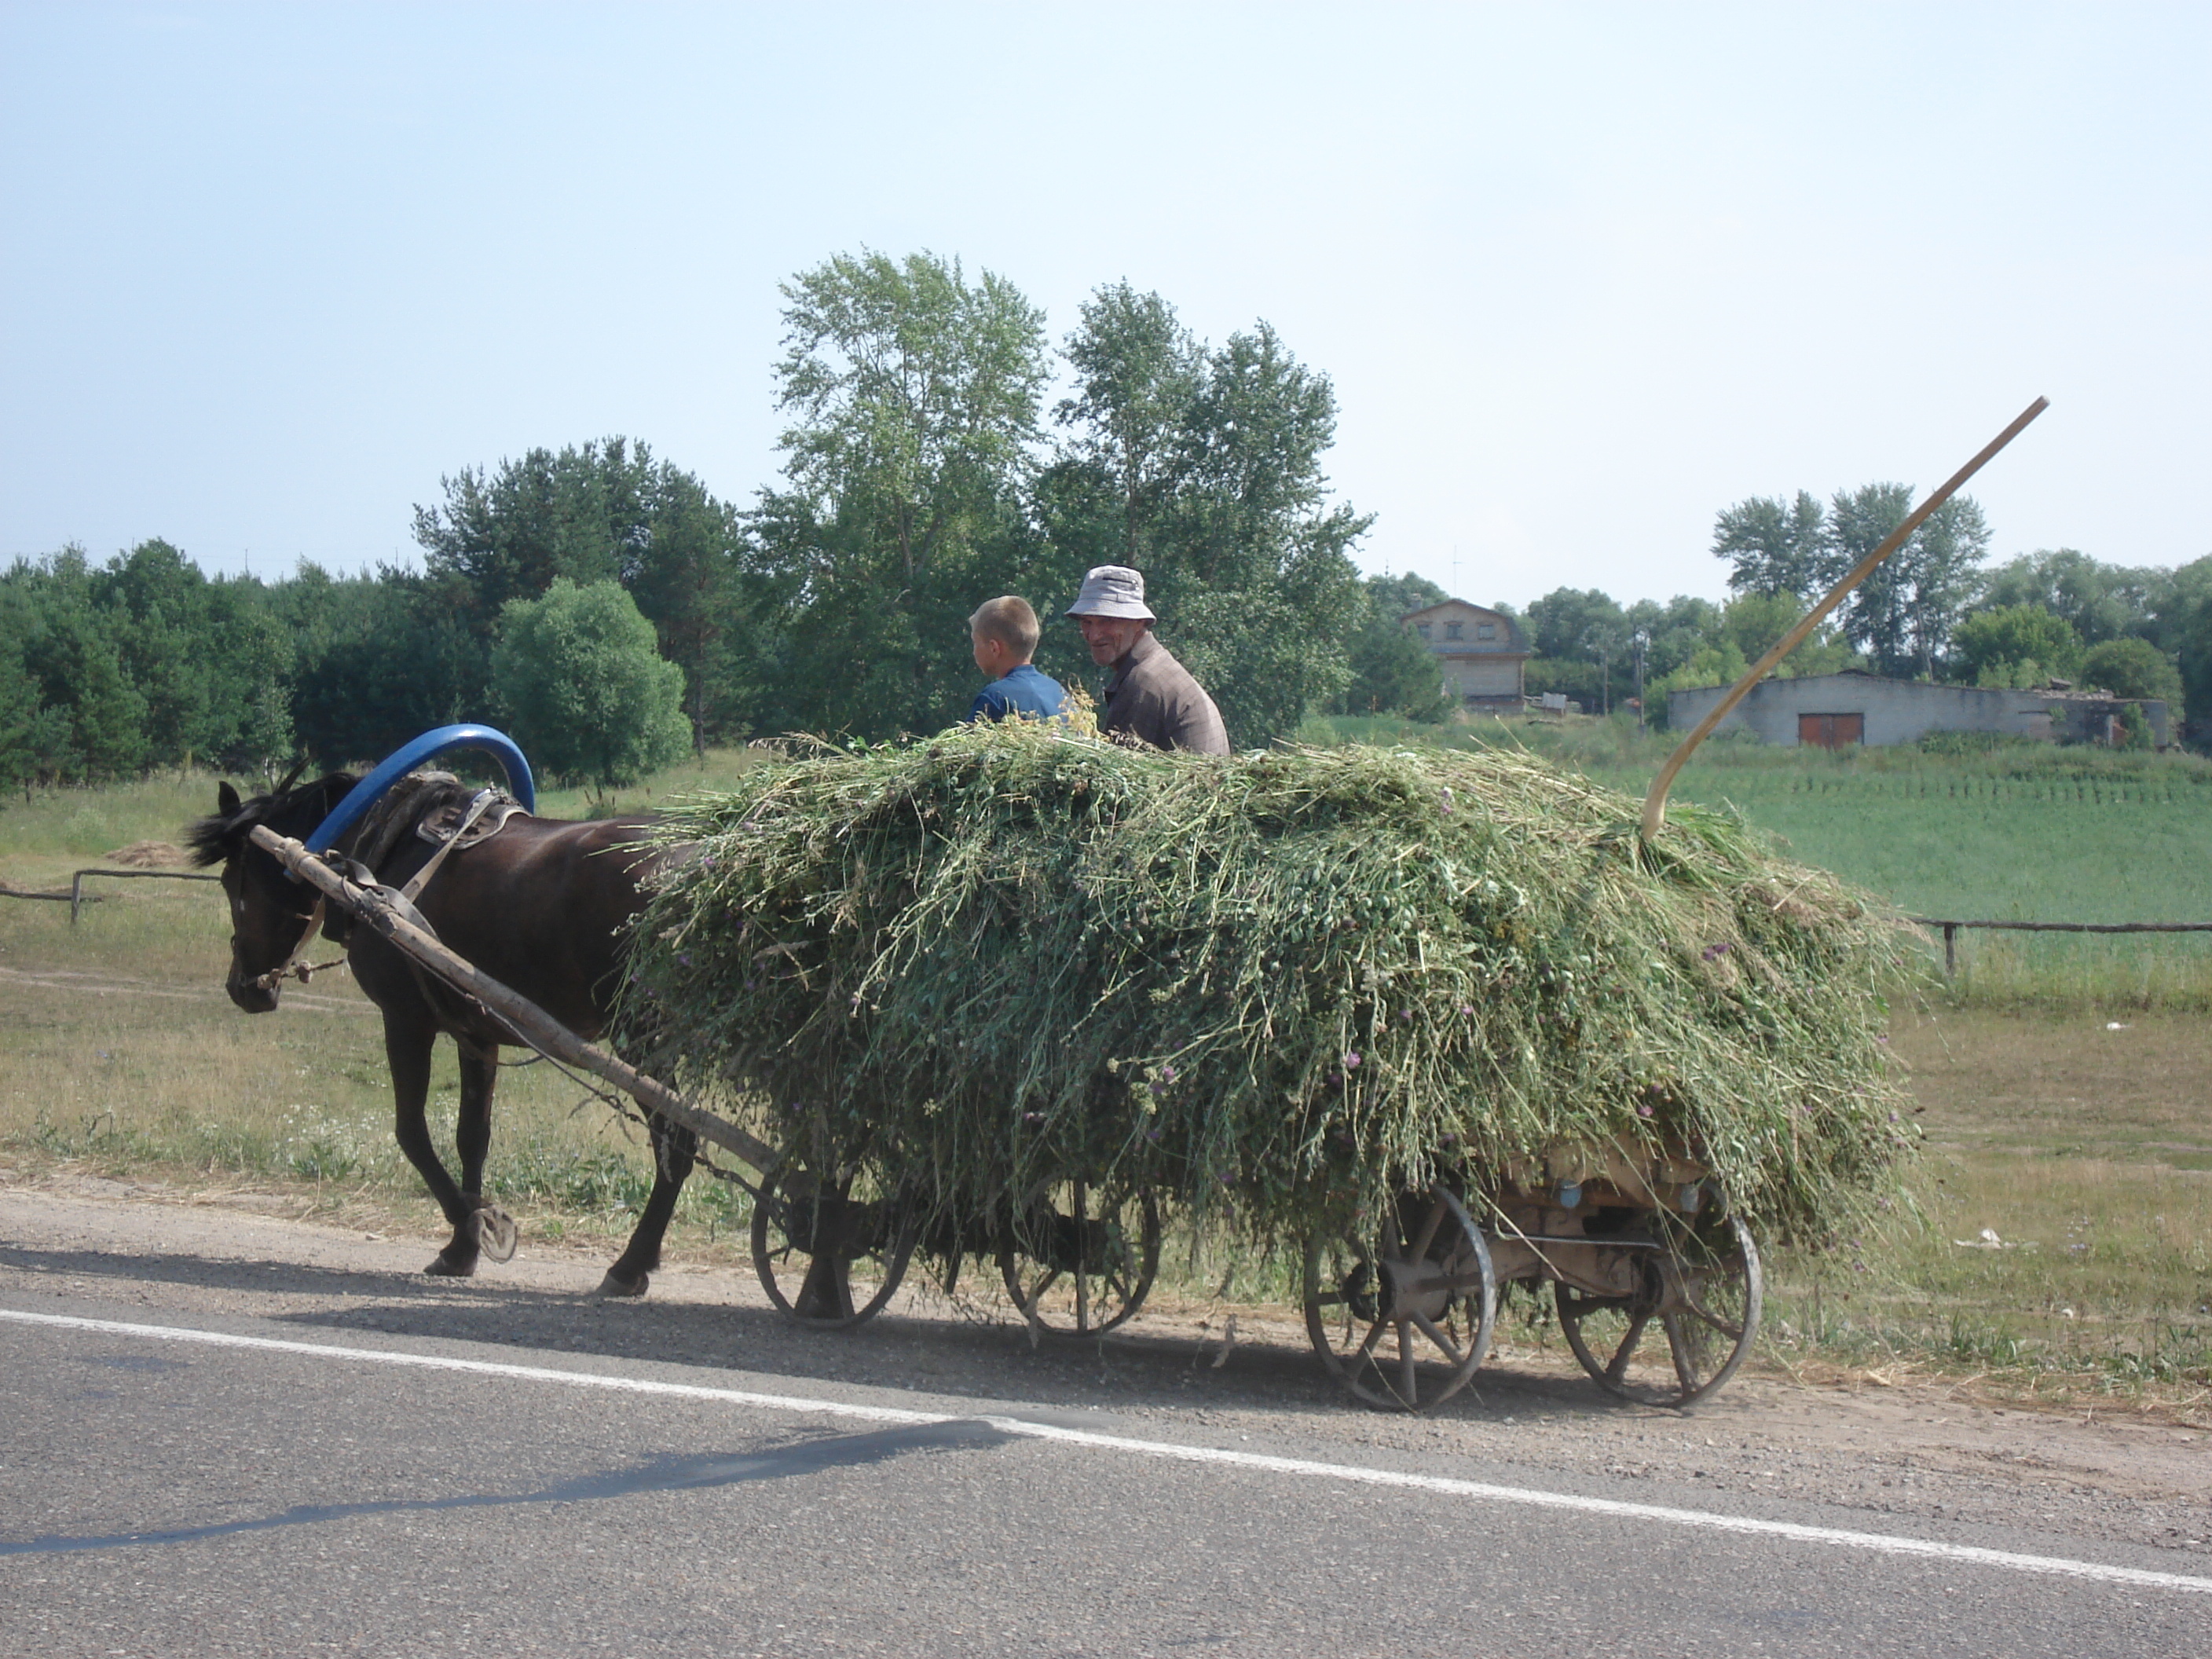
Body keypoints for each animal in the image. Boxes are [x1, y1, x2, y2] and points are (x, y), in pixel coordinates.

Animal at [199, 769, 698, 1300]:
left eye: (232, 881)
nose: (242, 987)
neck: (381, 854)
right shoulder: (475, 1032)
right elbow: (472, 1136)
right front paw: (463, 1246)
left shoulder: (405, 1019)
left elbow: (411, 1132)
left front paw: (477, 1226)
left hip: (641, 1039)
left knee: (677, 1141)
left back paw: (629, 1265)